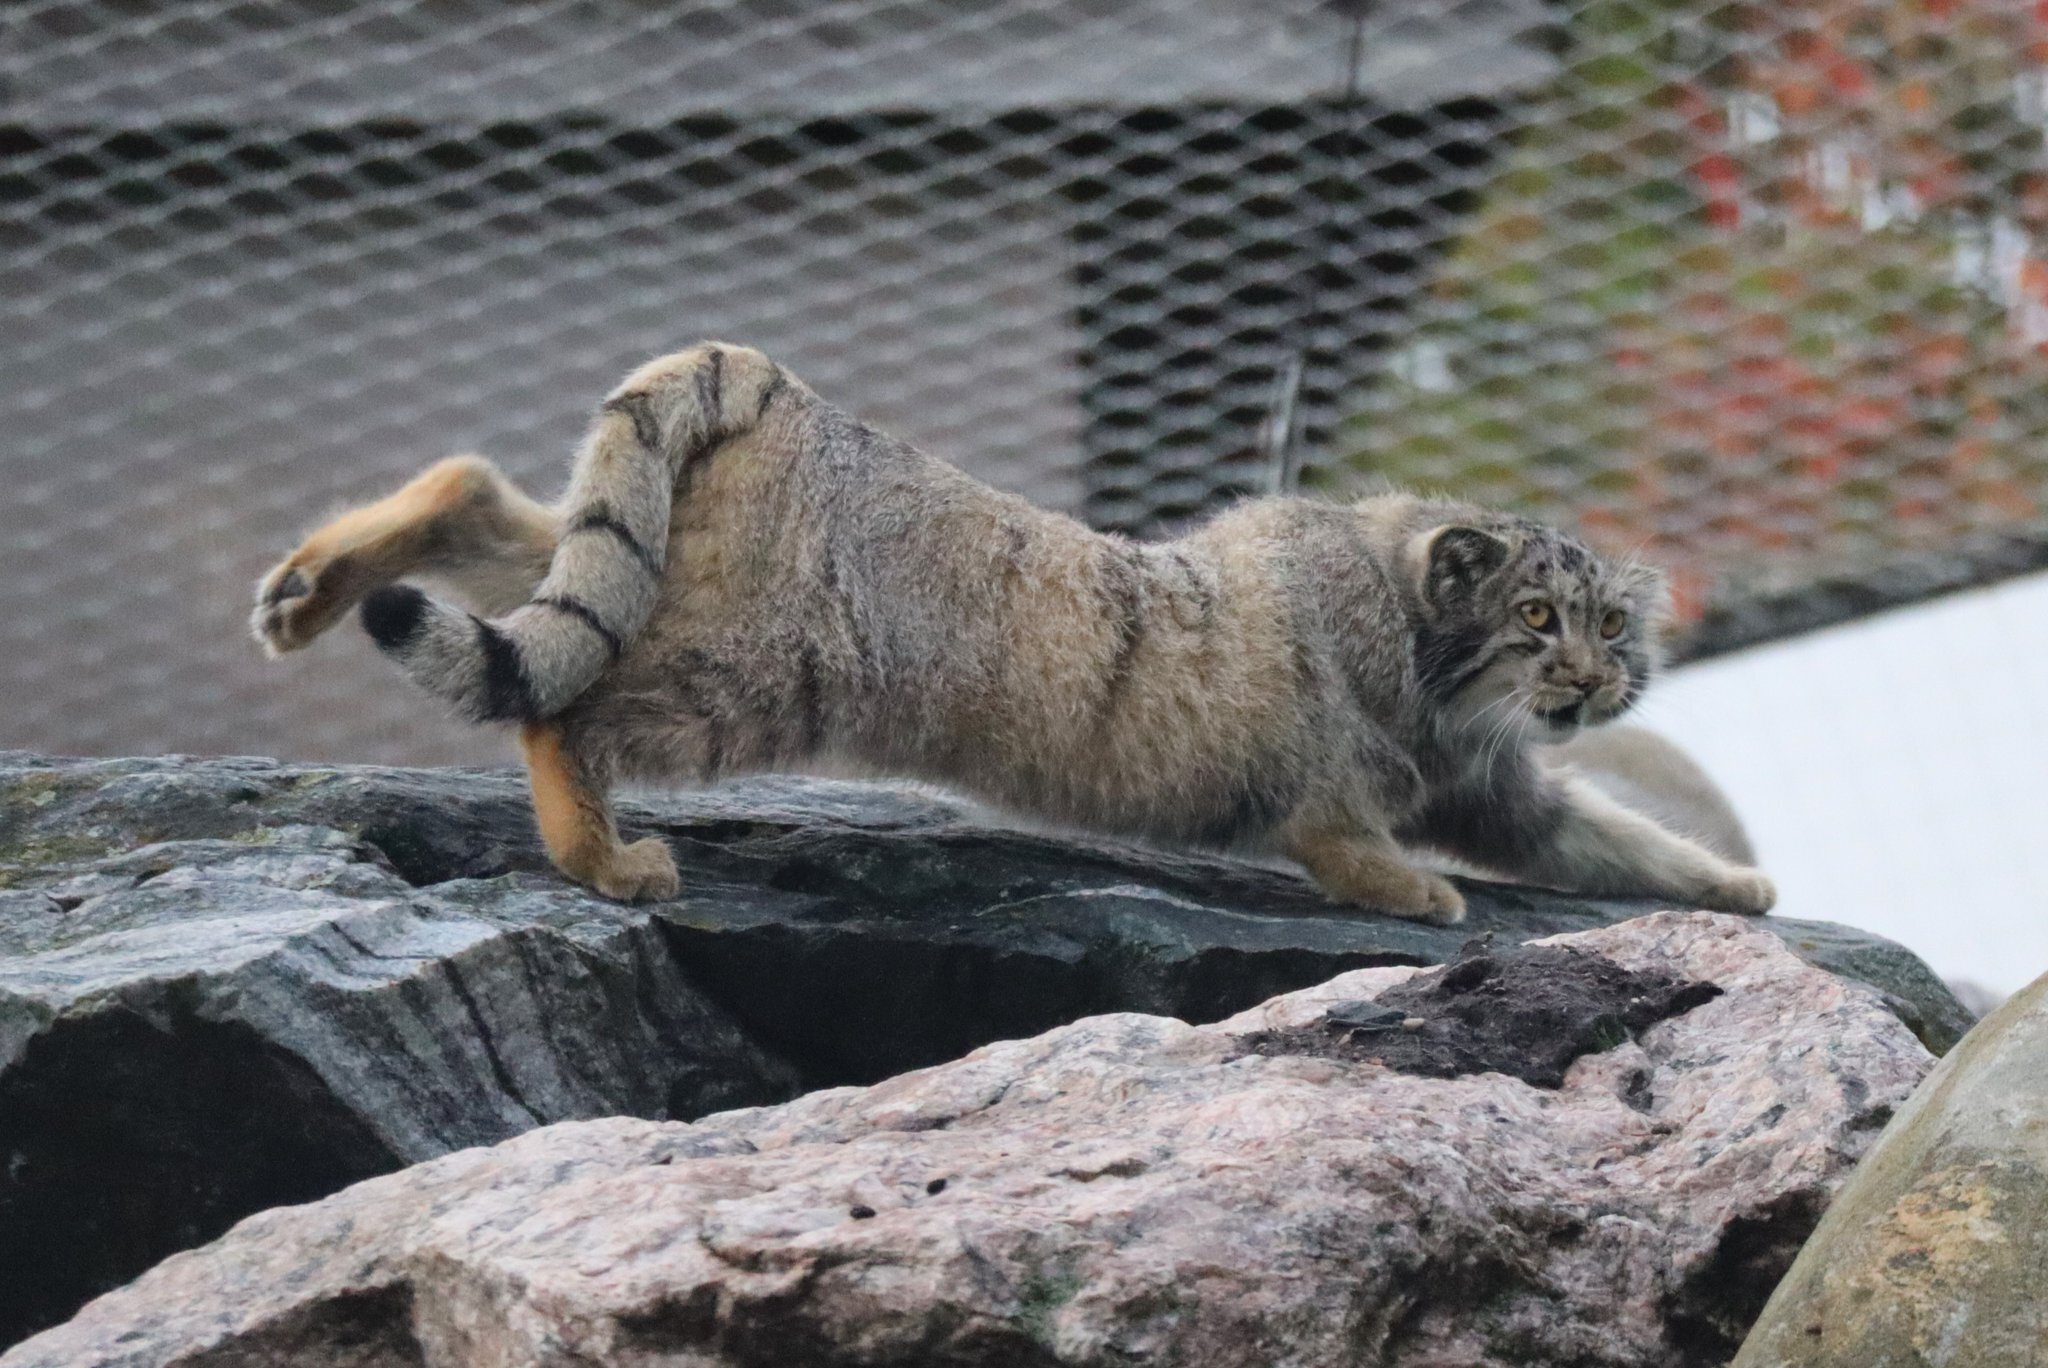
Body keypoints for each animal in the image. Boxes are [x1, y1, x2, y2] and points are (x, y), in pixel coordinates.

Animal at [251, 339, 1777, 929]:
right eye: (1536, 617)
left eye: (1610, 626)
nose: (1592, 680)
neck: (1418, 639)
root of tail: (765, 379)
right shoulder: (1344, 784)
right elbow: (1354, 845)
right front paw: (1415, 896)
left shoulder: (1494, 787)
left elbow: (1607, 839)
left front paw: (1738, 885)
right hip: (748, 666)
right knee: (555, 701)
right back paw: (600, 856)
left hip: (637, 556)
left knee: (495, 511)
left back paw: (316, 585)